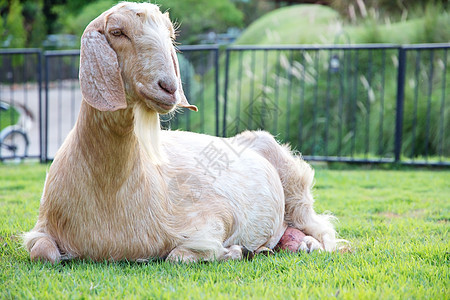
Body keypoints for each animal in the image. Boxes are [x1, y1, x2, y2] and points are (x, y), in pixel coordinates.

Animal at [22, 1, 340, 262]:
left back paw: (305, 245)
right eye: (117, 32)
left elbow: (179, 255)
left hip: (296, 190)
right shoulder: (42, 226)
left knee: (323, 229)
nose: (169, 87)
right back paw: (286, 245)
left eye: (171, 36)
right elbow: (43, 253)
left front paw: (232, 251)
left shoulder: (212, 218)